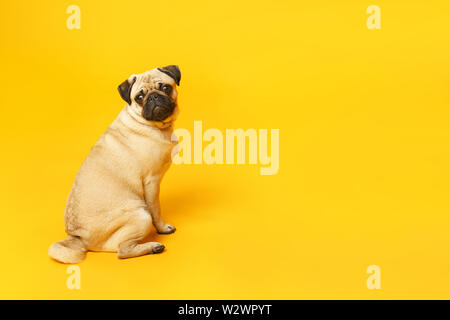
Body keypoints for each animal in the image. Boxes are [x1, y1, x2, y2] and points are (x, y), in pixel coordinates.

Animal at [48, 65, 181, 262]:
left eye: (165, 88)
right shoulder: (152, 181)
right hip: (141, 215)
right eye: (139, 97)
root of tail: (77, 237)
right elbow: (156, 209)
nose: (154, 97)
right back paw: (152, 247)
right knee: (122, 251)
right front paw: (163, 228)